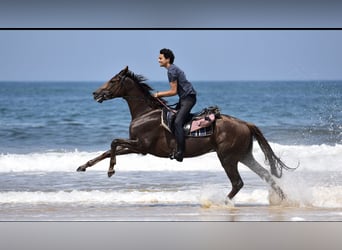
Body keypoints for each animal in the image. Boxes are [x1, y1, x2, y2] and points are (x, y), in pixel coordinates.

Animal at [77, 66, 294, 201]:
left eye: (113, 80)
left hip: (227, 157)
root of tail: (245, 124)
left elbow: (113, 142)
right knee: (267, 176)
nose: (95, 94)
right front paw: (84, 166)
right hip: (244, 156)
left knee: (238, 183)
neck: (145, 113)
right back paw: (284, 199)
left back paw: (220, 202)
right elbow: (108, 150)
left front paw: (110, 170)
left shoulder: (141, 145)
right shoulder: (136, 146)